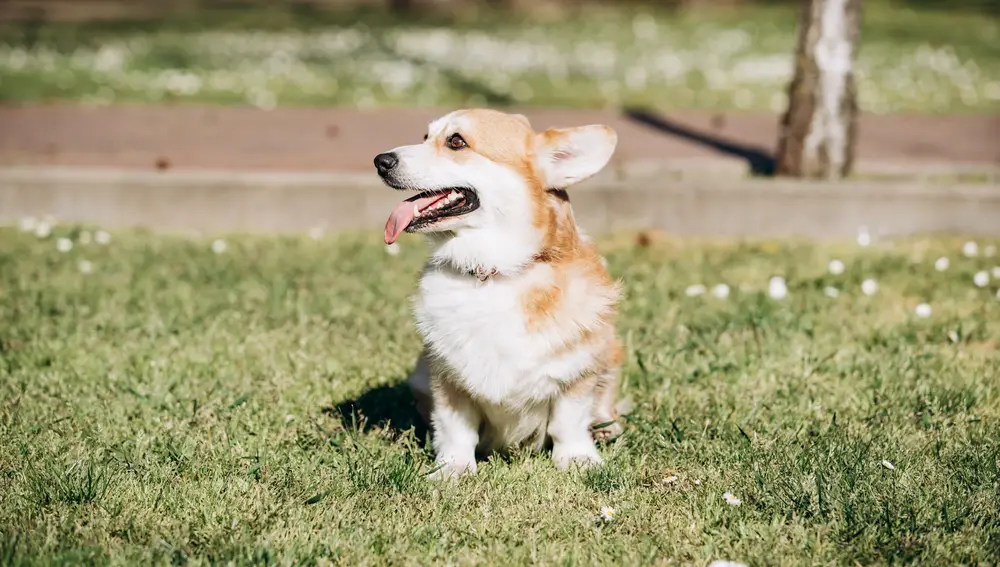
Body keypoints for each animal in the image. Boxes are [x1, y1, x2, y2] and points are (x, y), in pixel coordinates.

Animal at [376, 107, 624, 480]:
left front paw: (577, 458)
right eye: (425, 137)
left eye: (456, 142)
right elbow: (455, 429)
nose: (380, 160)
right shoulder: (446, 377)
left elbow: (567, 422)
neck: (492, 272)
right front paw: (453, 469)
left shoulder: (578, 372)